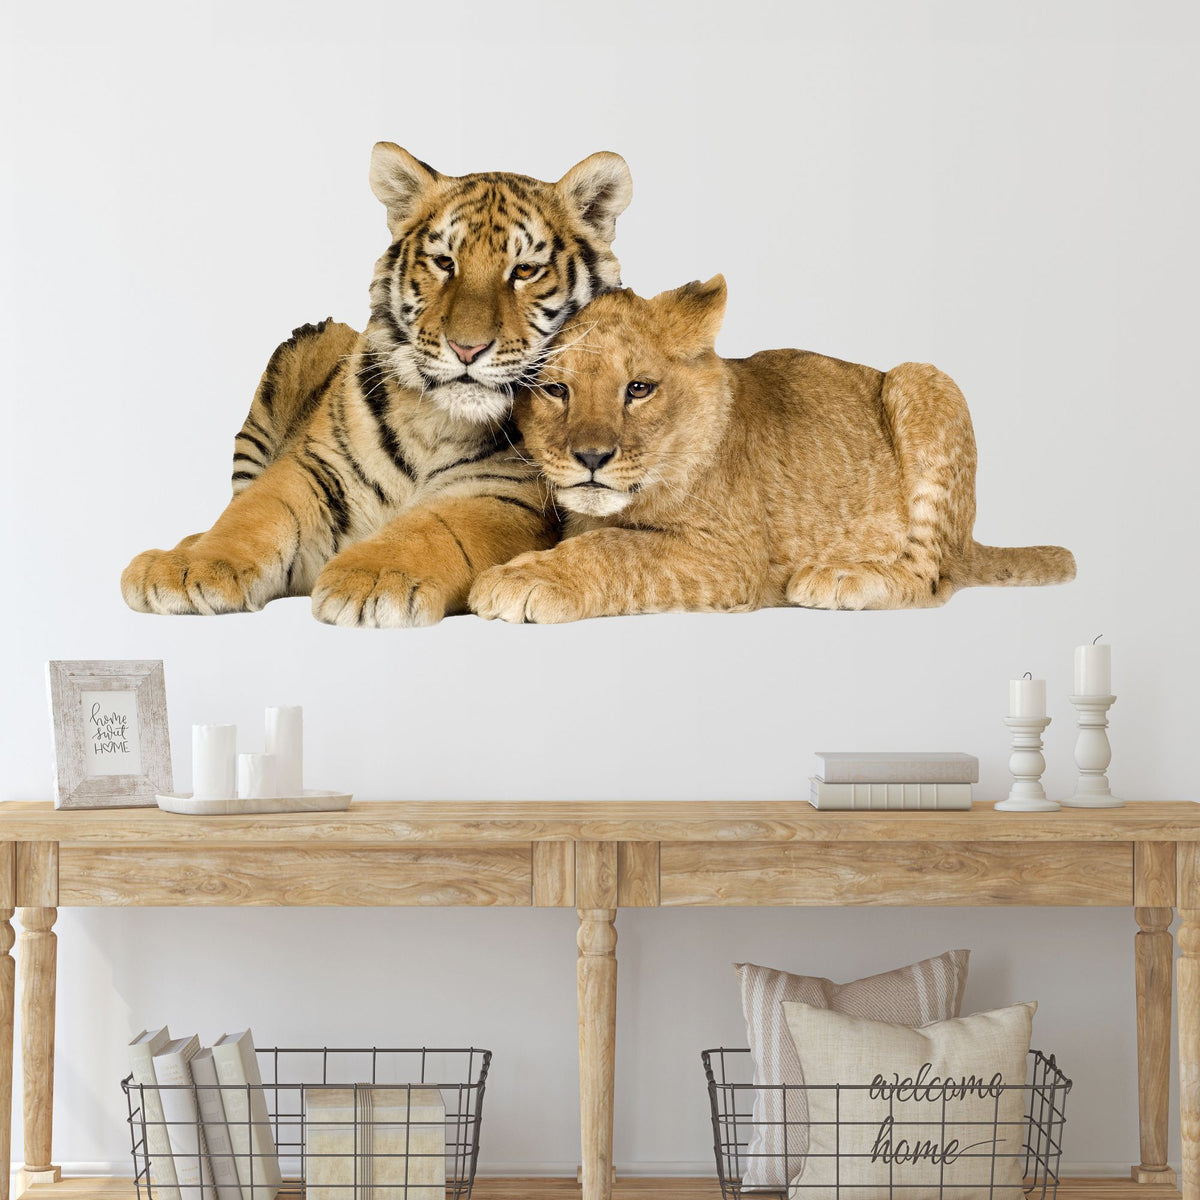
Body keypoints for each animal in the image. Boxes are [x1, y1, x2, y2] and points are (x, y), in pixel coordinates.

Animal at [120, 143, 632, 626]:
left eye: (525, 270)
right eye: (444, 262)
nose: (467, 349)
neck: (436, 419)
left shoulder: (504, 497)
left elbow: (434, 528)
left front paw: (373, 578)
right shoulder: (314, 466)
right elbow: (254, 512)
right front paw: (189, 567)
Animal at [468, 275, 1076, 622]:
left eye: (638, 389)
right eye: (555, 390)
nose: (592, 458)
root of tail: (971, 540)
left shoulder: (730, 554)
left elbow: (617, 548)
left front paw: (523, 580)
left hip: (923, 379)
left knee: (933, 580)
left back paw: (841, 578)